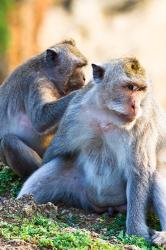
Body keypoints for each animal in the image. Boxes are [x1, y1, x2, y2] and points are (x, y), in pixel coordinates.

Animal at [0, 39, 87, 177]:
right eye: (78, 67)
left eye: (83, 66)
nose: (84, 77)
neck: (45, 72)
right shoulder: (37, 82)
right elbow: (41, 118)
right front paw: (83, 91)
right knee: (9, 141)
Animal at [17, 57, 166, 247]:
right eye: (130, 87)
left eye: (141, 89)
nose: (135, 106)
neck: (107, 116)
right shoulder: (74, 112)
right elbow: (54, 153)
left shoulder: (143, 123)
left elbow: (139, 171)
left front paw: (136, 231)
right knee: (57, 165)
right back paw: (25, 204)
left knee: (155, 175)